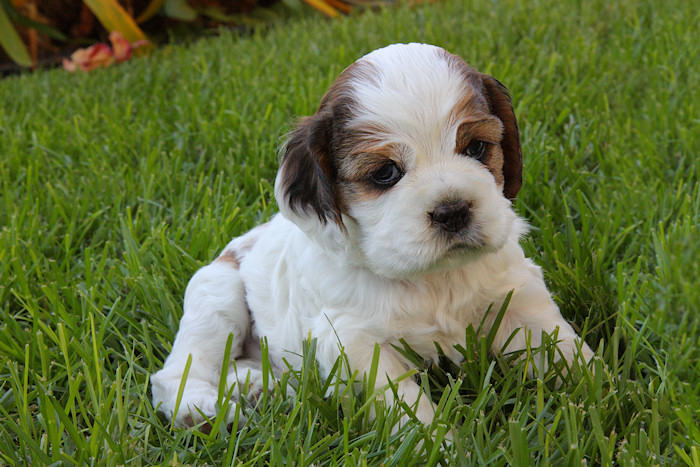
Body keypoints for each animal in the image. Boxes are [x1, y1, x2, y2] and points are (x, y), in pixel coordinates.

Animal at [150, 43, 592, 428]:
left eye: (476, 147)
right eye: (385, 173)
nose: (452, 211)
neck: (434, 279)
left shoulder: (518, 295)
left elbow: (567, 353)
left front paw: (602, 396)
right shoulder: (356, 344)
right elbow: (408, 411)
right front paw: (442, 448)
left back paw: (259, 386)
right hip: (216, 294)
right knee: (177, 374)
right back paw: (208, 409)